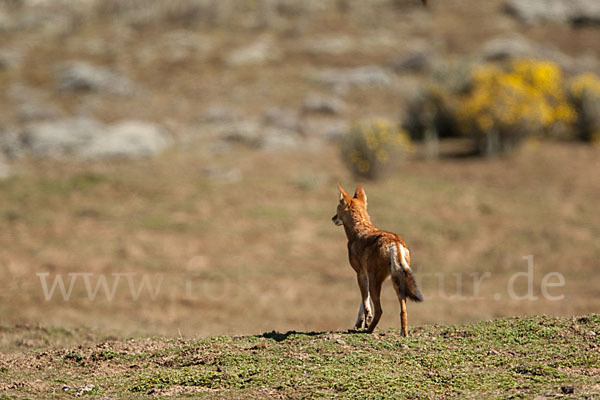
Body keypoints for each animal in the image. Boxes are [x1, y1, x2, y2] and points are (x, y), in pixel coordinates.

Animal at [332, 186, 422, 336]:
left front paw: (364, 323)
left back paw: (369, 330)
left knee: (380, 310)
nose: (332, 218)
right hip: (396, 283)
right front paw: (360, 323)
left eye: (337, 208)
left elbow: (366, 304)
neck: (359, 227)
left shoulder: (360, 273)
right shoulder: (366, 275)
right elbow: (363, 302)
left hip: (377, 283)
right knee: (403, 310)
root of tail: (395, 241)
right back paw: (403, 333)